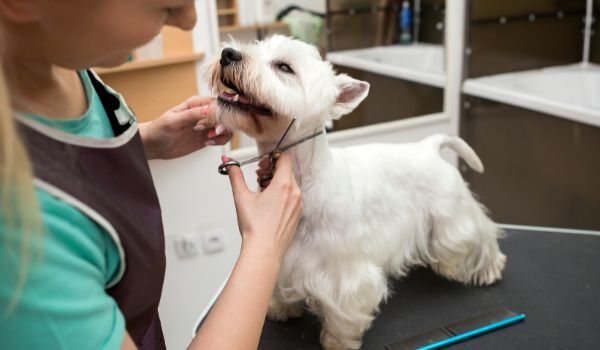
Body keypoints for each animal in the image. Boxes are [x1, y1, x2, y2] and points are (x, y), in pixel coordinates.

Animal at [206, 36, 506, 350]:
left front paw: (337, 342)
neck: (306, 177)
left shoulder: (345, 274)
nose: (228, 54)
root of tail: (429, 145)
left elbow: (343, 313)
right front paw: (282, 308)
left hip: (453, 216)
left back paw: (489, 268)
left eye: (284, 67)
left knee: (481, 236)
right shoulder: (277, 251)